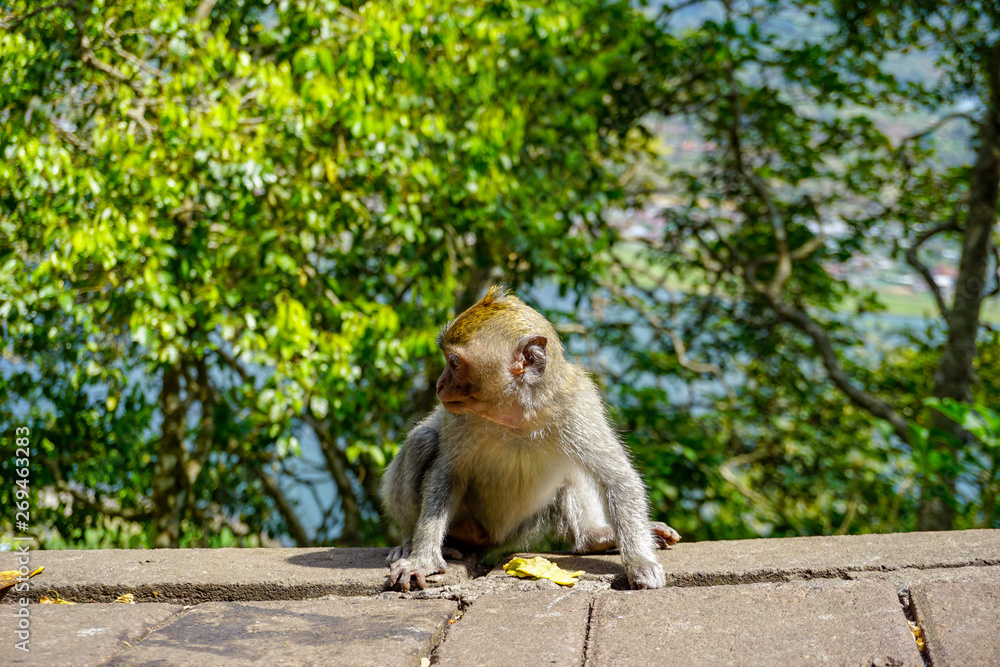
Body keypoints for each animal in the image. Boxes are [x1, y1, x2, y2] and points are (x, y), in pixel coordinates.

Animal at [376, 288, 680, 588]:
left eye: (454, 362)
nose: (439, 385)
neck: (517, 415)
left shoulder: (578, 403)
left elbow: (617, 478)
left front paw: (641, 562)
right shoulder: (458, 420)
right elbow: (446, 473)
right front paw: (422, 560)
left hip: (523, 529)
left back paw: (593, 538)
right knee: (423, 440)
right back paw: (412, 542)